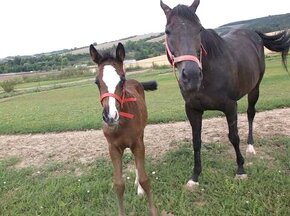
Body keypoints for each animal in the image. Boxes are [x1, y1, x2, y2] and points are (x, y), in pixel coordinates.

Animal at [90, 42, 159, 216]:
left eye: (122, 79)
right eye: (96, 82)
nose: (110, 116)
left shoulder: (138, 144)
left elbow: (144, 179)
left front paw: (153, 209)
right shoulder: (113, 148)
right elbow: (118, 184)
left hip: (141, 136)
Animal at [160, 0, 288, 188]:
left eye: (199, 29)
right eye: (167, 31)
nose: (191, 76)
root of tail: (253, 33)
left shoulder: (230, 106)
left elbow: (234, 137)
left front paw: (241, 170)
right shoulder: (192, 110)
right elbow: (196, 141)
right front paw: (194, 177)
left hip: (254, 89)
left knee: (251, 113)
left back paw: (250, 147)